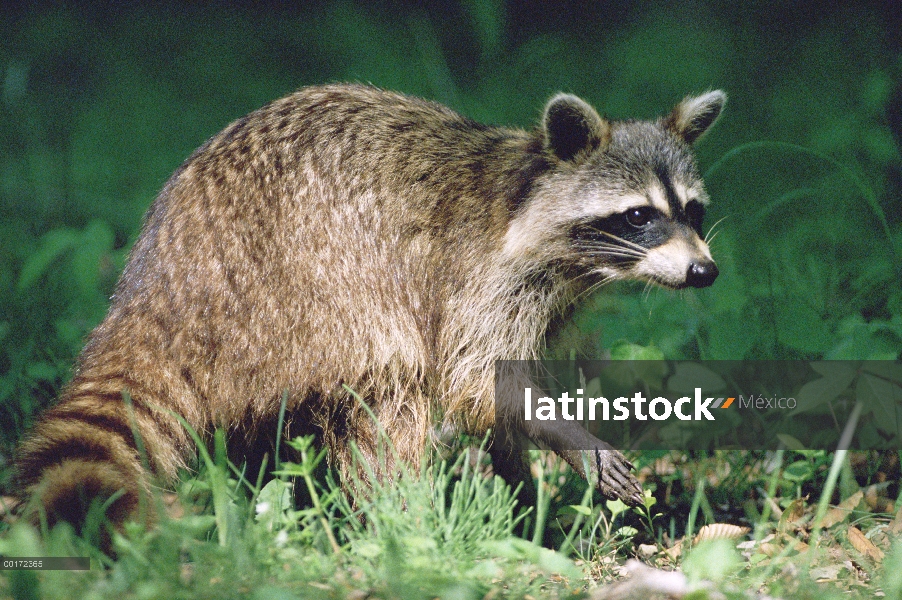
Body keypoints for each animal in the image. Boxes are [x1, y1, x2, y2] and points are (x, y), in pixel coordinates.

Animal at [14, 83, 724, 536]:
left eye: (692, 210)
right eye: (639, 216)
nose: (704, 271)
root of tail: (159, 288)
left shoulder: (550, 300)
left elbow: (500, 389)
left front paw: (520, 487)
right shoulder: (482, 275)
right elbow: (470, 377)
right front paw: (571, 440)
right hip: (309, 292)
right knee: (392, 388)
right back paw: (404, 517)